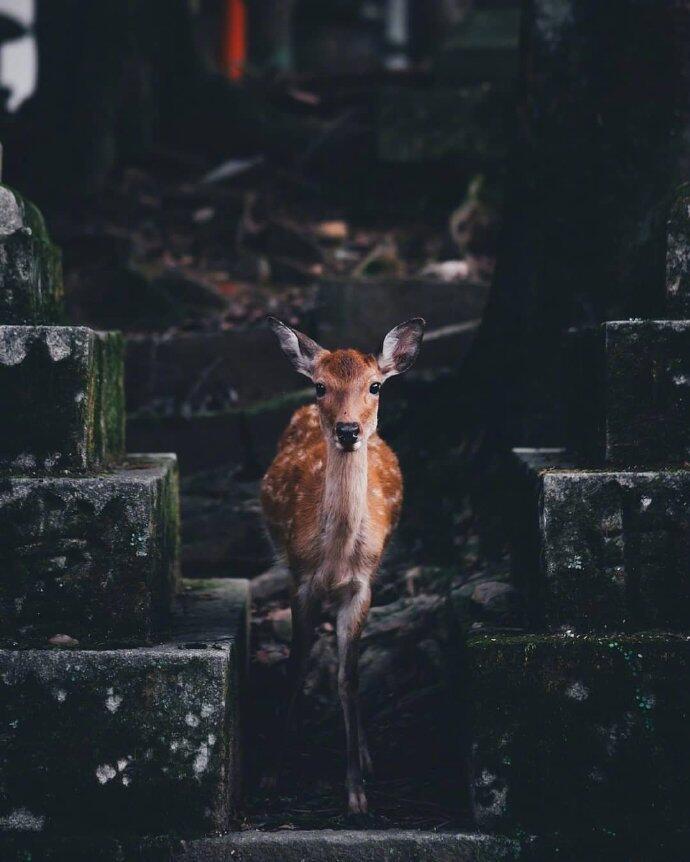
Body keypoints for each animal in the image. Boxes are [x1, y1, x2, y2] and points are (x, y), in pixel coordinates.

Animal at [260, 318, 424, 816]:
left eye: (375, 385)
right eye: (320, 385)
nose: (349, 430)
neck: (333, 560)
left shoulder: (362, 587)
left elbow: (348, 679)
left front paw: (356, 792)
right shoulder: (300, 580)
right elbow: (295, 666)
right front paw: (271, 772)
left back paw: (367, 754)